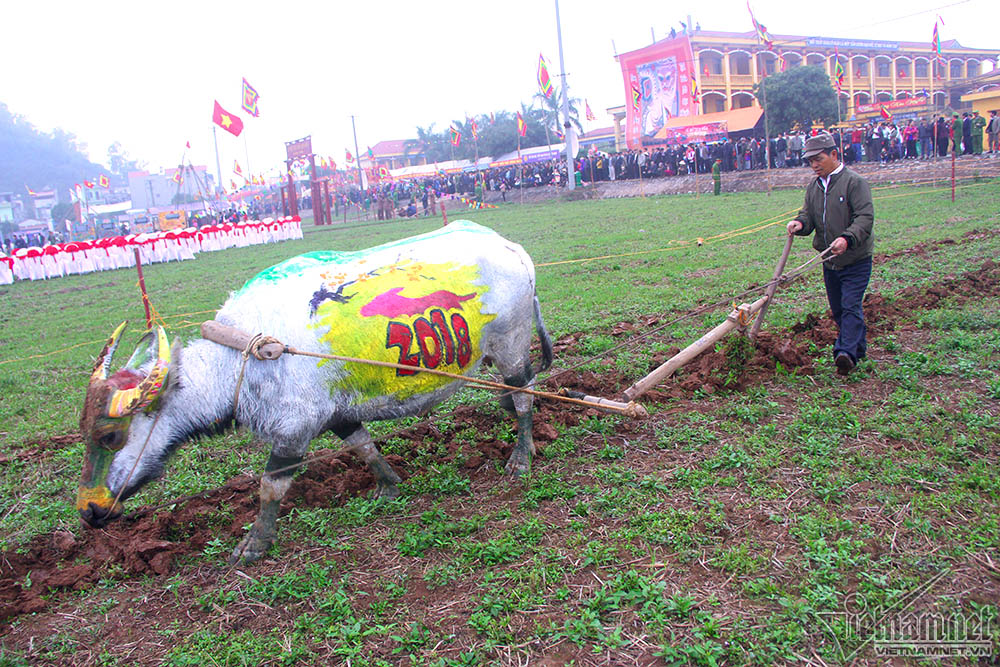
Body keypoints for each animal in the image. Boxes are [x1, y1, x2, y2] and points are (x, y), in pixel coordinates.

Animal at [78, 222, 556, 568]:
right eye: (85, 435)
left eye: (109, 436)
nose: (89, 511)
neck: (245, 355)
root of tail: (510, 247)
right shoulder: (336, 415)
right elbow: (364, 446)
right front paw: (388, 485)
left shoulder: (293, 429)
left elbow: (270, 486)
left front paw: (254, 545)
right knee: (513, 395)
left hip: (512, 348)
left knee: (525, 396)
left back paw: (522, 456)